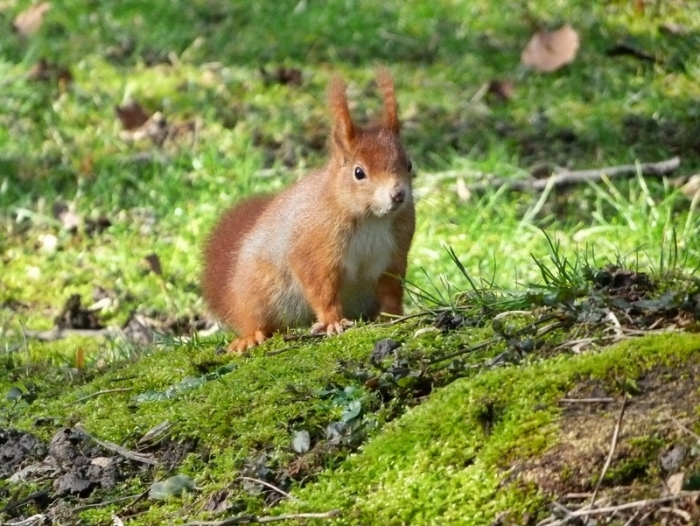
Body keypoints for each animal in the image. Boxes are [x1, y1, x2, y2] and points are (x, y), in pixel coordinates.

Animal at [201, 68, 415, 353]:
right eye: (359, 172)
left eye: (409, 164)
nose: (398, 194)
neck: (370, 218)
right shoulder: (314, 248)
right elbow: (321, 289)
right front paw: (333, 322)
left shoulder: (395, 254)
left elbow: (392, 289)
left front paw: (394, 316)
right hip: (256, 292)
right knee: (253, 319)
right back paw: (250, 336)